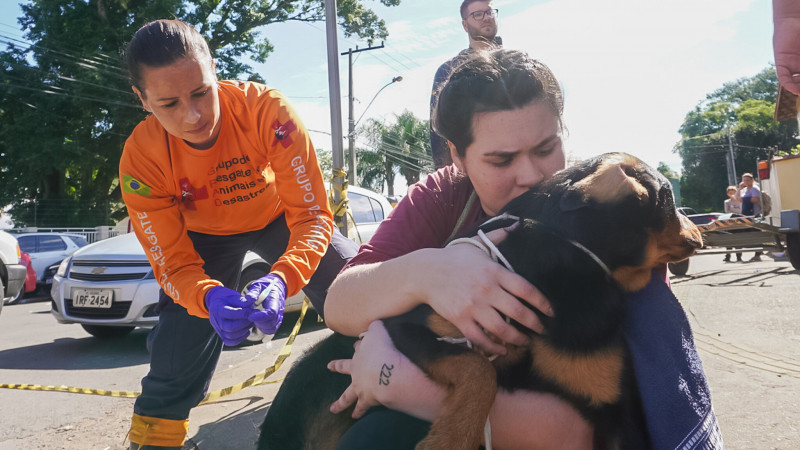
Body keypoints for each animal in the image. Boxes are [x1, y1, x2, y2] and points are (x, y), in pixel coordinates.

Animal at [260, 153, 700, 448]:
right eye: (667, 196)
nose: (699, 227)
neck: (568, 253)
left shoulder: (617, 413)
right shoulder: (408, 326)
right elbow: (478, 369)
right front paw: (451, 438)